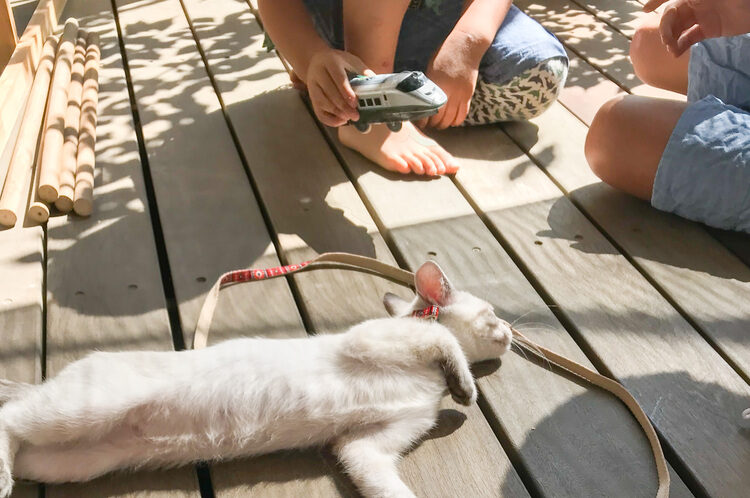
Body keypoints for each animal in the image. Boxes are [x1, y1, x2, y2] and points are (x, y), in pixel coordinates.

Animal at [0, 260, 516, 498]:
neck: (426, 383)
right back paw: (3, 476)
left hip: (71, 460)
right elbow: (443, 341)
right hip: (81, 410)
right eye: (493, 313)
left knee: (23, 442)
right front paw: (465, 389)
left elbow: (385, 487)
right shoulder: (369, 340)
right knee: (10, 414)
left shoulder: (363, 446)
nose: (513, 333)